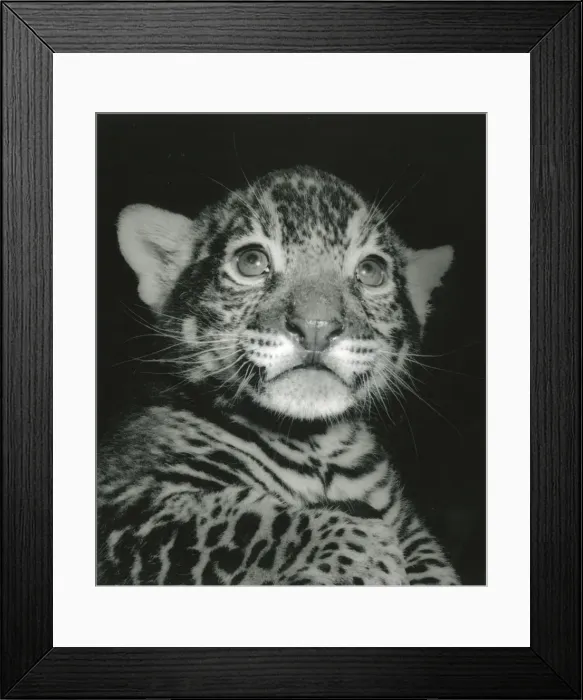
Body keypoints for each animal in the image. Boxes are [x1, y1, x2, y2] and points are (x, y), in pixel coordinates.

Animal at [97, 165, 460, 585]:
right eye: (251, 262)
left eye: (371, 271)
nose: (317, 328)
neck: (316, 446)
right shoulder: (125, 502)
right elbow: (251, 521)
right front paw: (371, 559)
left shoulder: (408, 521)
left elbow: (434, 566)